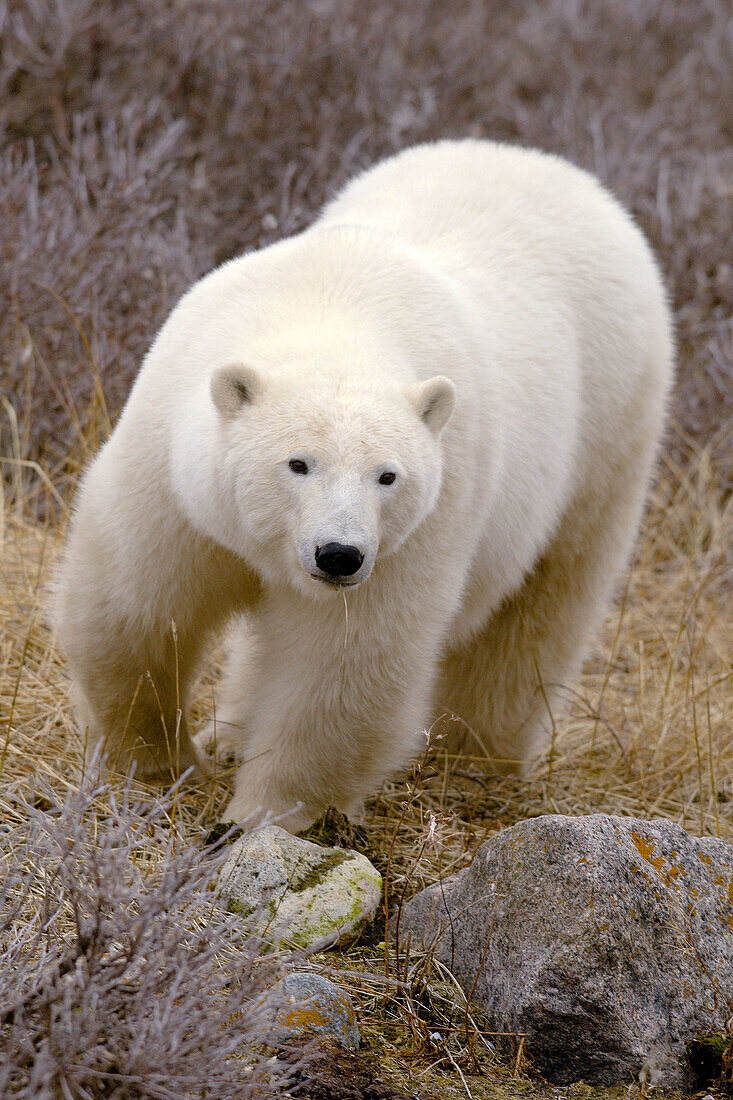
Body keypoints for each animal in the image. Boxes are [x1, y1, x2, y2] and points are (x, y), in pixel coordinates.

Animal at [55, 139, 673, 827]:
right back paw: (231, 733)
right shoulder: (171, 467)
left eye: (387, 476)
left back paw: (475, 757)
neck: (334, 304)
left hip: (609, 426)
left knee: (540, 606)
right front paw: (158, 763)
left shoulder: (425, 520)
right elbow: (138, 605)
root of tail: (551, 166)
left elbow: (345, 666)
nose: (338, 555)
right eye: (297, 463)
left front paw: (256, 815)